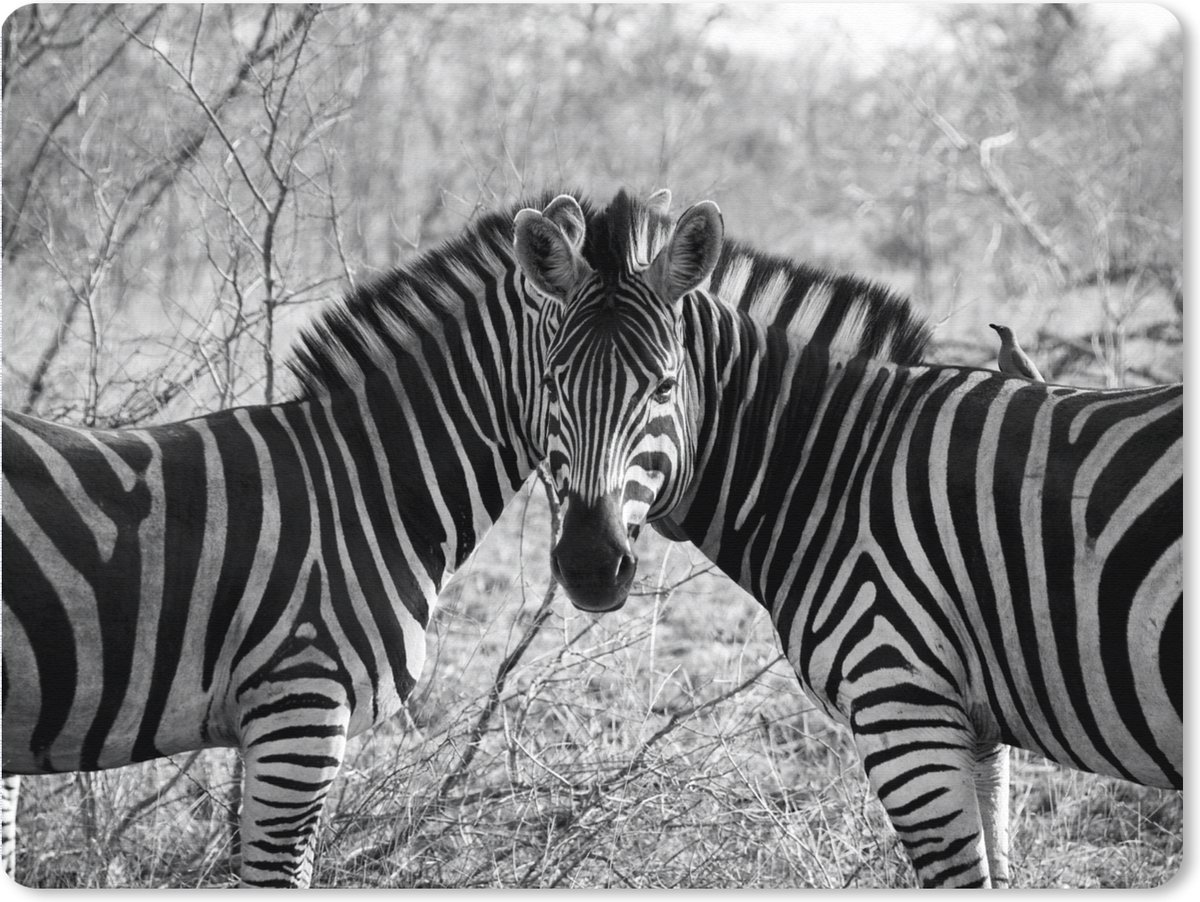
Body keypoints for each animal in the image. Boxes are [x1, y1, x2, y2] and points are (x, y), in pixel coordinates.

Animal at [512, 191, 1182, 887]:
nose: (589, 565)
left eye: (665, 387)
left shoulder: (903, 707)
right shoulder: (978, 727)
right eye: (550, 384)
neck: (839, 469)